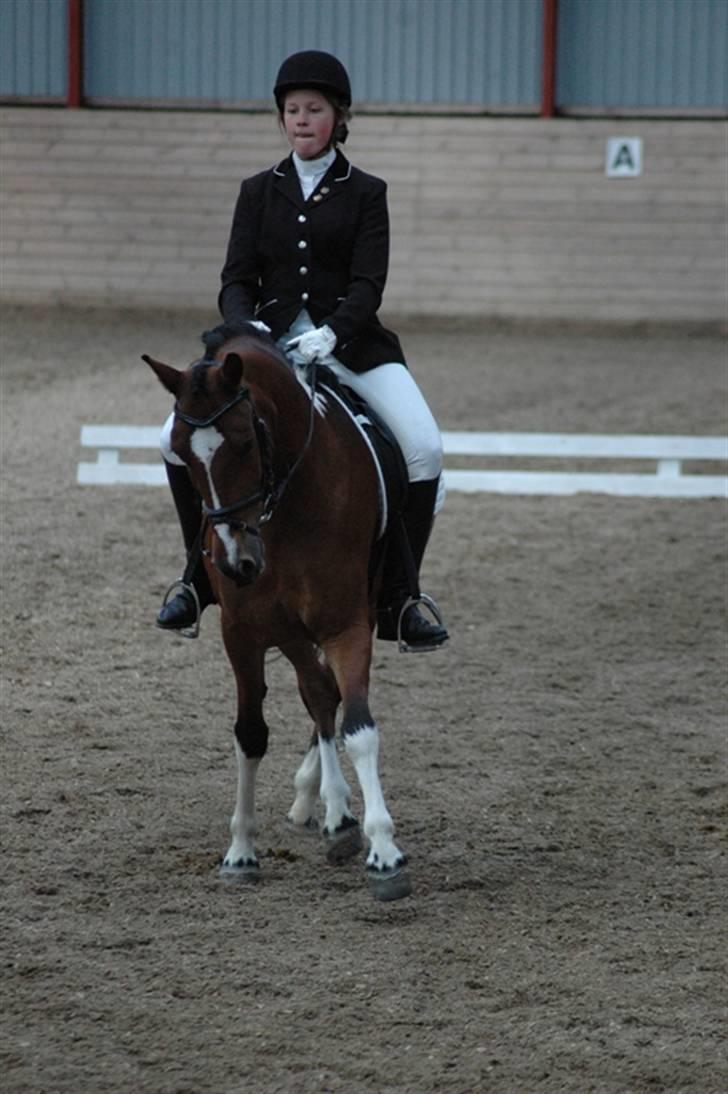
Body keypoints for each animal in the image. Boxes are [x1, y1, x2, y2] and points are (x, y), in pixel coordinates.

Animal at [144, 334, 412, 901]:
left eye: (246, 442)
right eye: (181, 454)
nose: (235, 562)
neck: (283, 510)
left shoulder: (344, 624)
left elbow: (359, 726)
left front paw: (384, 851)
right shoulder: (243, 631)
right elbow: (252, 731)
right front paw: (241, 851)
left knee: (327, 697)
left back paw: (334, 810)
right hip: (285, 628)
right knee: (318, 692)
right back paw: (328, 807)